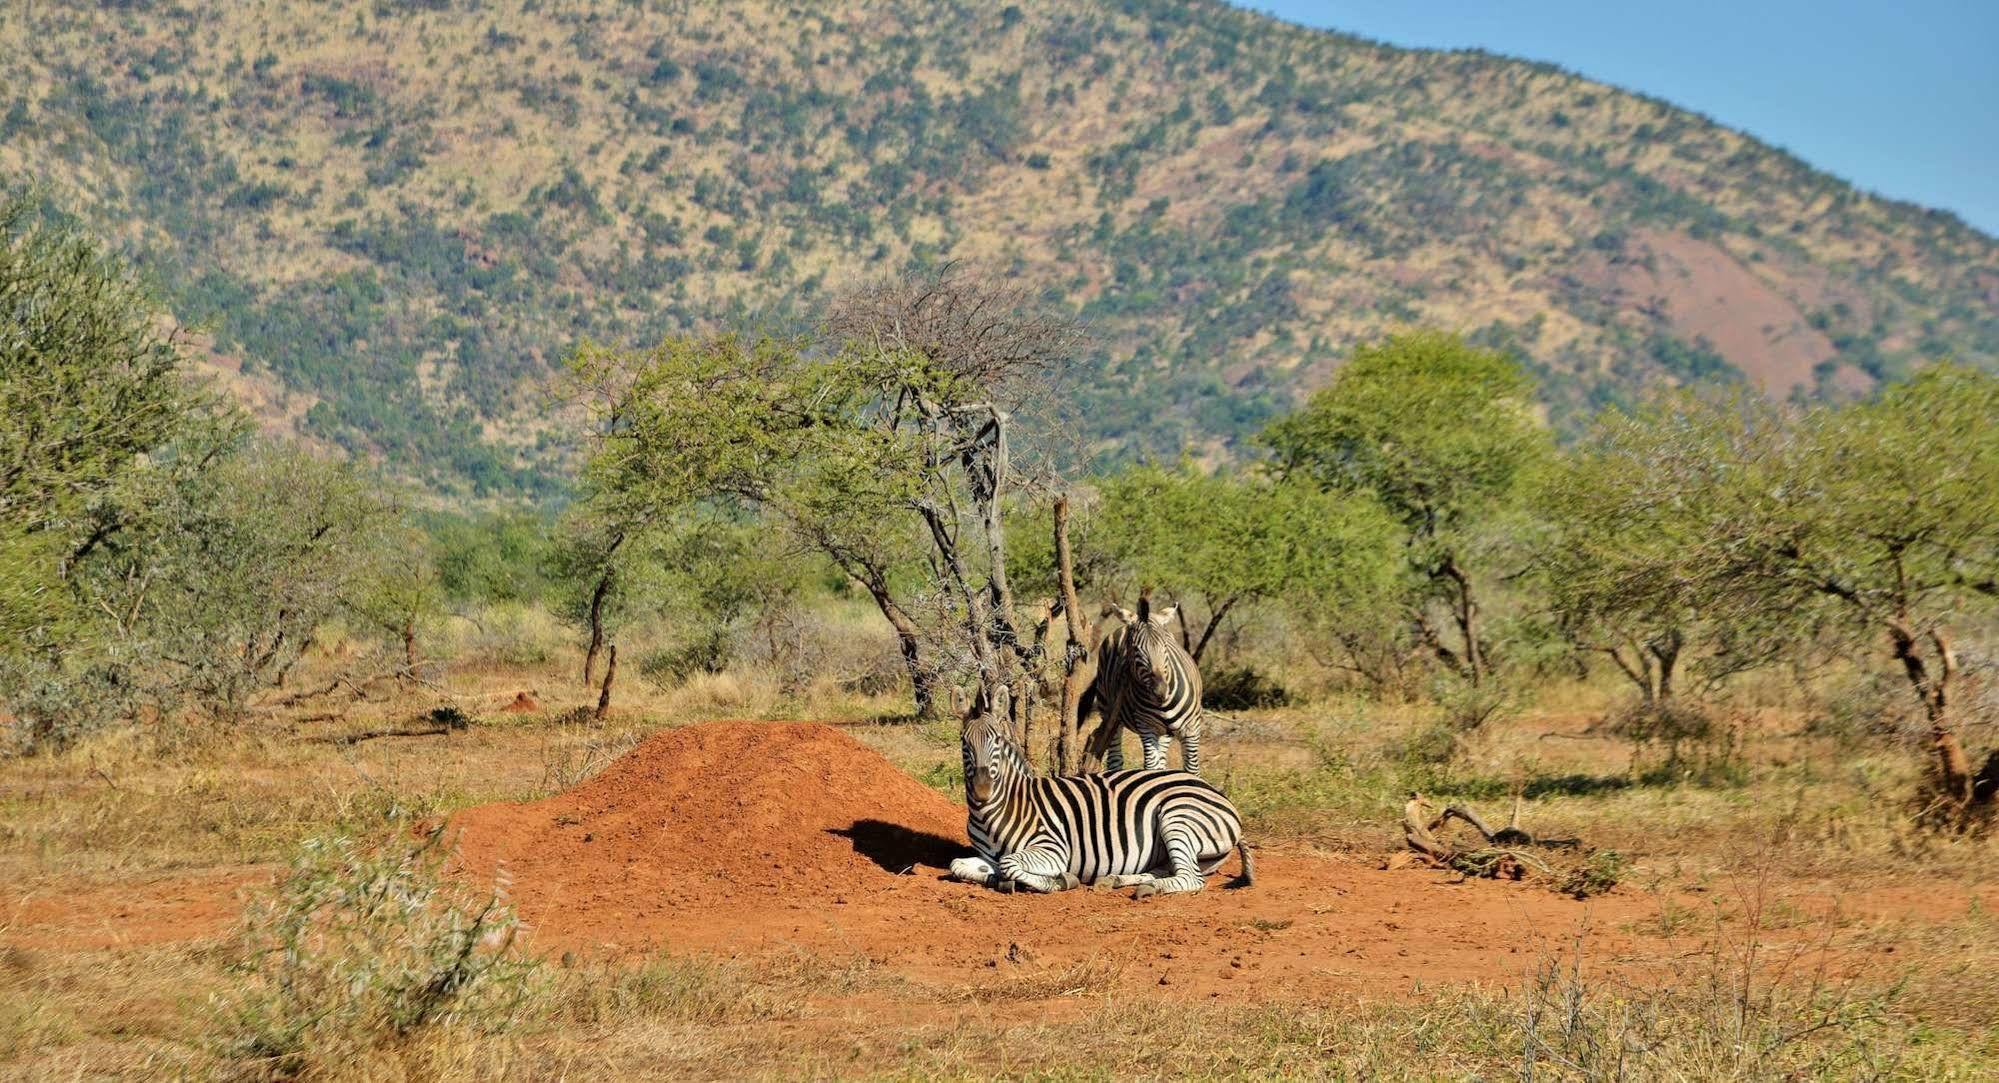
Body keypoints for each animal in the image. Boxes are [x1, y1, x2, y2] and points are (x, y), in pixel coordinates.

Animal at [947, 711, 1255, 899]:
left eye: (997, 742)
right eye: (964, 744)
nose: (982, 791)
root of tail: (1217, 794)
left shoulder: (1054, 848)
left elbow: (1010, 863)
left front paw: (1058, 881)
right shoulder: (988, 855)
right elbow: (959, 865)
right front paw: (995, 878)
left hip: (1176, 817)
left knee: (1190, 878)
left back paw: (1149, 888)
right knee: (1170, 869)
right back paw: (1118, 879)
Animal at [1087, 595, 1207, 783]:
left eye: (1165, 647)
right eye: (1136, 649)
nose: (1161, 692)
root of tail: (1121, 628)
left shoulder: (1192, 729)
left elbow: (1192, 771)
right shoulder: (1147, 727)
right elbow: (1150, 767)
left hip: (1164, 733)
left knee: (1162, 762)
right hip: (1108, 711)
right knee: (1115, 758)